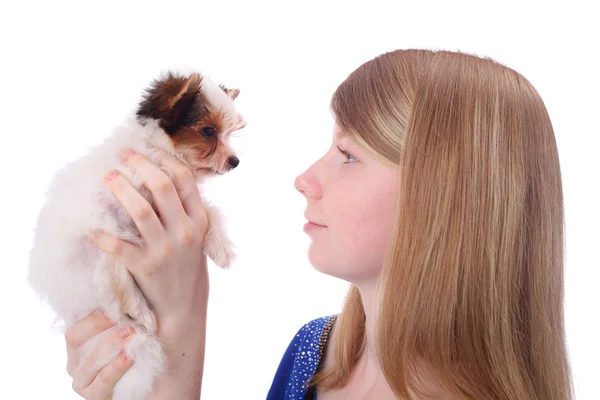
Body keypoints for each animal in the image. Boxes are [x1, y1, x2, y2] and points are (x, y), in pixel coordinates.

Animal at [27, 70, 247, 398]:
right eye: (209, 131)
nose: (234, 161)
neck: (158, 150)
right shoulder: (118, 207)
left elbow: (207, 213)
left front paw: (220, 248)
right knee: (112, 272)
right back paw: (140, 310)